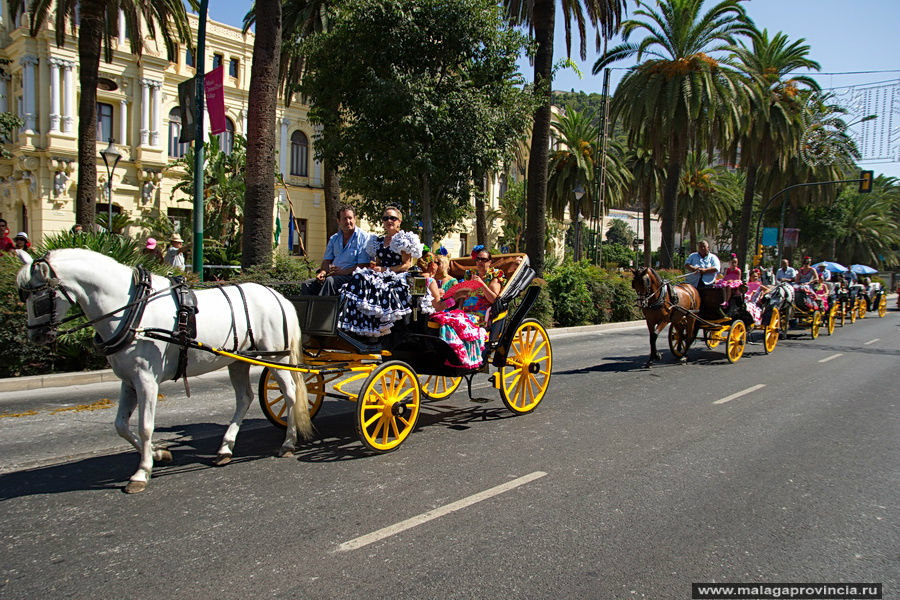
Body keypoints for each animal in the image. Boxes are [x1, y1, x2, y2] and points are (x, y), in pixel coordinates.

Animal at [16, 247, 312, 492]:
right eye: (24, 296)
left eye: (39, 298)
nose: (35, 337)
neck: (131, 309)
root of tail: (277, 295)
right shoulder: (128, 379)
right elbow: (121, 425)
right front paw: (159, 454)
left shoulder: (147, 379)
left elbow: (145, 426)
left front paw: (141, 472)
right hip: (239, 360)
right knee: (245, 398)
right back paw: (225, 448)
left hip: (276, 356)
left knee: (290, 393)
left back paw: (288, 442)